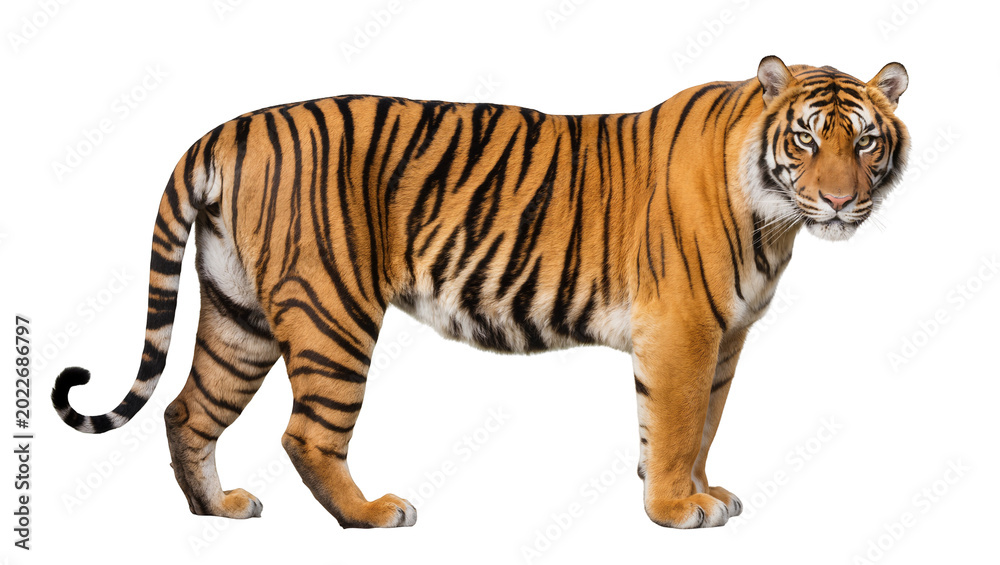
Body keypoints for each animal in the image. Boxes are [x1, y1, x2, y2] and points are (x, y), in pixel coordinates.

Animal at [51, 55, 909, 529]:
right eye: (806, 138)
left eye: (866, 140)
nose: (840, 201)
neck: (774, 220)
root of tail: (229, 128)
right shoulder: (684, 329)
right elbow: (673, 426)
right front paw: (676, 509)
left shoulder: (724, 338)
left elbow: (700, 426)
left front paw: (700, 491)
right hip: (332, 311)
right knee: (306, 434)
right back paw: (371, 514)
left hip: (240, 312)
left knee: (187, 409)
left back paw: (217, 510)